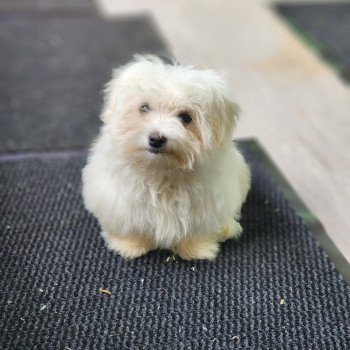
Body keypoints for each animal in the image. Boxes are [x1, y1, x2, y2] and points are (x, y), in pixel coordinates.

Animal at [82, 55, 252, 260]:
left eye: (186, 117)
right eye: (144, 108)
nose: (156, 139)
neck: (161, 172)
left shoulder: (206, 203)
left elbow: (197, 228)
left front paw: (197, 249)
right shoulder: (121, 200)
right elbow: (131, 223)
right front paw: (130, 246)